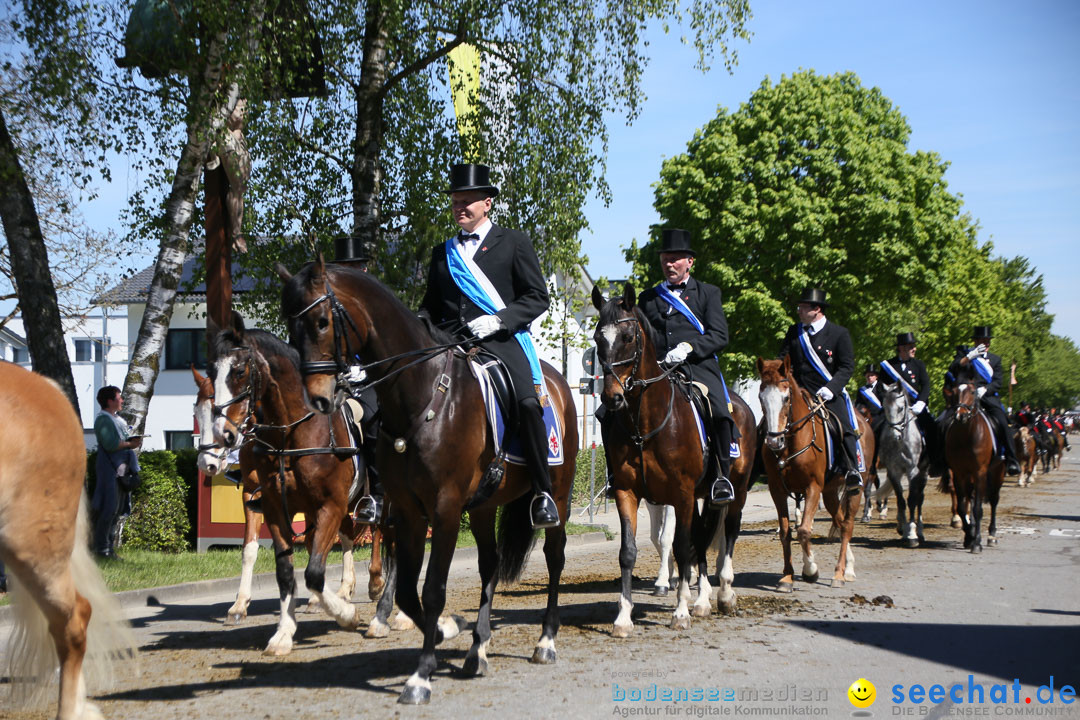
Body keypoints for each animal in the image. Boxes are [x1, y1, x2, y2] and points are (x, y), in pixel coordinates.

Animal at [282, 257, 578, 703]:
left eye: (320, 322)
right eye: (289, 323)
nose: (318, 399)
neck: (421, 394)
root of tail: (555, 381)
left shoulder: (445, 508)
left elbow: (433, 588)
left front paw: (420, 675)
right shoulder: (408, 511)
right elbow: (407, 589)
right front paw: (443, 631)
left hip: (557, 495)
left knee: (554, 558)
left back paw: (546, 641)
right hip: (483, 506)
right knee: (489, 566)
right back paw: (478, 650)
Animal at [756, 356, 864, 591]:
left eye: (786, 397)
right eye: (761, 397)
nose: (773, 441)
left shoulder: (812, 487)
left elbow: (804, 530)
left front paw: (810, 570)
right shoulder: (777, 489)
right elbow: (785, 532)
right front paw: (787, 577)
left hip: (856, 488)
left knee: (848, 525)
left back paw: (841, 573)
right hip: (830, 492)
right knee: (840, 522)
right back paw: (847, 566)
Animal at [876, 382, 928, 546]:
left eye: (900, 408)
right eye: (885, 407)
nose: (895, 436)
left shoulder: (913, 471)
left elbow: (912, 500)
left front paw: (912, 534)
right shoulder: (893, 471)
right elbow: (900, 500)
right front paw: (903, 529)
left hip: (923, 473)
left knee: (920, 498)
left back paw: (920, 531)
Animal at [941, 379, 1006, 557]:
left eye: (972, 392)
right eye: (954, 391)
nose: (961, 415)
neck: (966, 434)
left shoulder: (980, 473)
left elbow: (977, 508)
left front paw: (976, 543)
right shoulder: (959, 473)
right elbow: (962, 507)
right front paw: (969, 536)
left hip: (997, 472)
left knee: (994, 500)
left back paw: (992, 535)